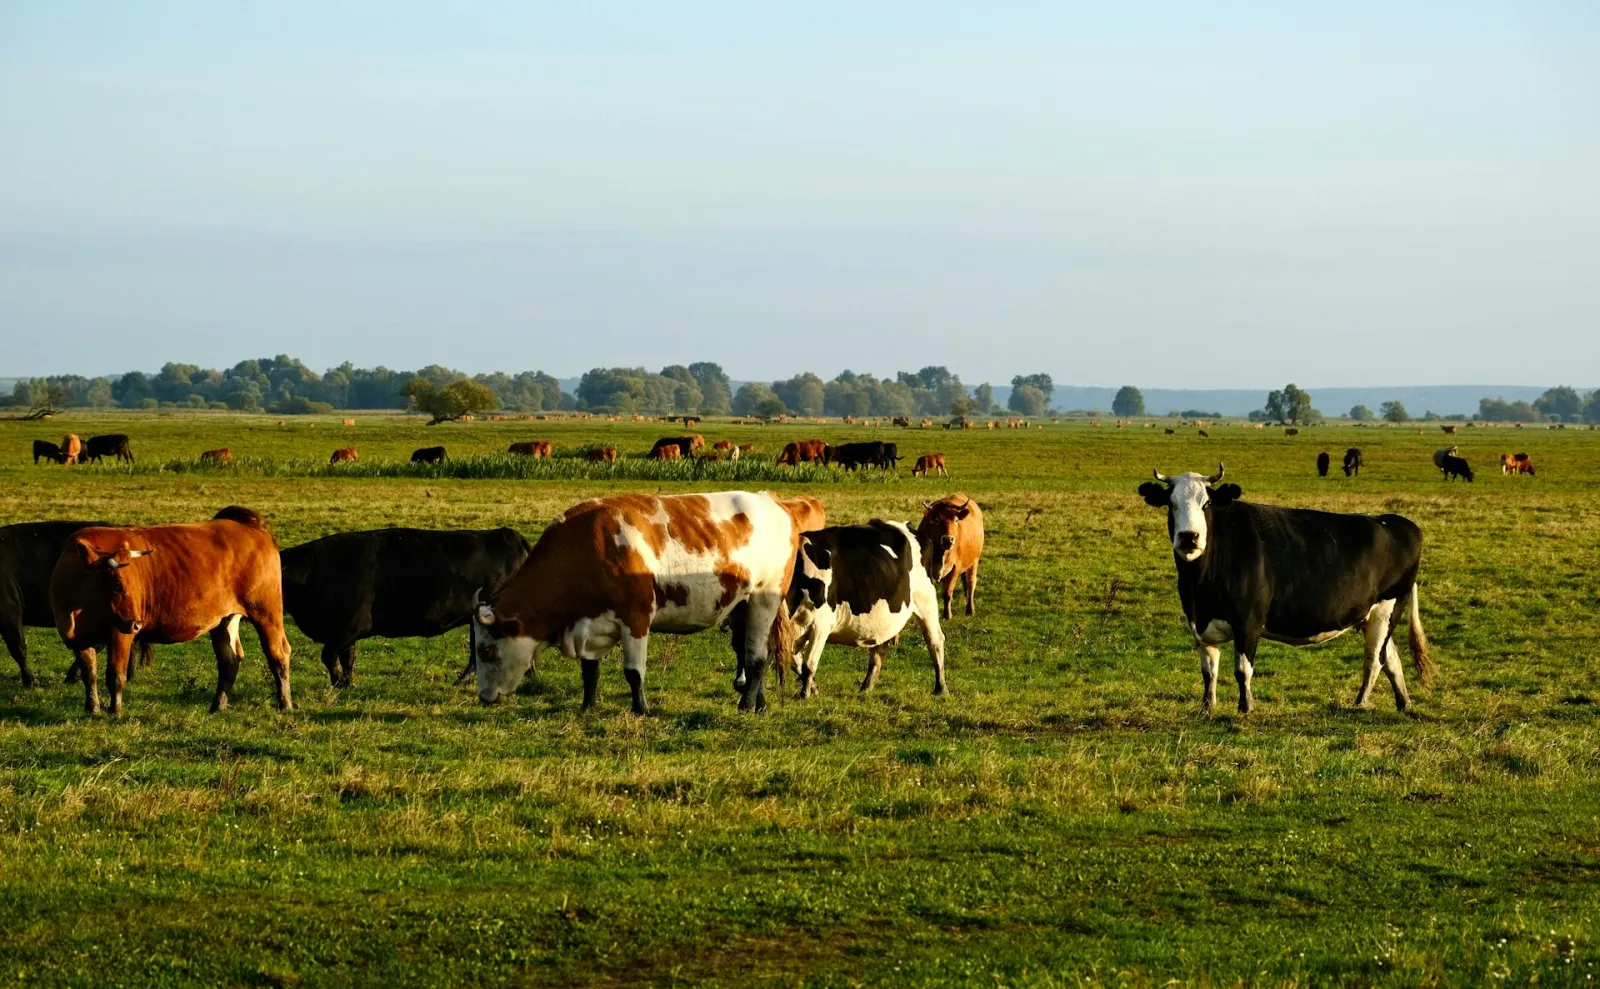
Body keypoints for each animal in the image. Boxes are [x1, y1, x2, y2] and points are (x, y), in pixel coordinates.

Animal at [49, 507, 294, 716]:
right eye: (117, 585)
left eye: (131, 582)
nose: (137, 623)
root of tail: (249, 525)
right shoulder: (79, 639)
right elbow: (89, 674)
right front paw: (92, 709)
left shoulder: (119, 633)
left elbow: (115, 675)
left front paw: (115, 711)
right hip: (225, 619)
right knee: (230, 660)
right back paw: (218, 706)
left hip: (266, 613)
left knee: (278, 655)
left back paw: (285, 703)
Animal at [281, 527, 531, 687]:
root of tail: (509, 533)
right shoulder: (344, 632)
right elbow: (347, 658)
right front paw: (347, 684)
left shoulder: (350, 627)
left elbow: (329, 655)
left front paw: (338, 683)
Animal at [469, 492, 823, 714]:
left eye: (486, 650)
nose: (483, 697)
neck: (588, 547)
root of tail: (775, 503)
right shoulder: (589, 625)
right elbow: (590, 670)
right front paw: (587, 706)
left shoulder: (636, 617)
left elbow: (633, 672)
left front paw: (641, 709)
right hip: (741, 608)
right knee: (755, 655)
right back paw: (759, 703)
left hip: (764, 600)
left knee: (756, 657)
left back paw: (747, 705)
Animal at [780, 521, 948, 698]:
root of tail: (904, 526)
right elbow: (795, 661)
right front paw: (813, 688)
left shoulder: (821, 625)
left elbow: (809, 664)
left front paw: (805, 693)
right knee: (879, 650)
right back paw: (866, 687)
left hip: (926, 601)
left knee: (935, 641)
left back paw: (941, 687)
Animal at [1137, 464, 1431, 714]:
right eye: (1170, 504)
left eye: (1206, 503)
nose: (1189, 537)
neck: (1200, 584)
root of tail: (1397, 522)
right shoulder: (1199, 624)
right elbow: (1209, 671)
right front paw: (1207, 708)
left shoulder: (1248, 622)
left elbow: (1242, 669)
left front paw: (1245, 708)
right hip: (1373, 616)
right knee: (1390, 658)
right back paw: (1403, 703)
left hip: (1387, 607)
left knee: (1374, 659)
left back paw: (1360, 703)